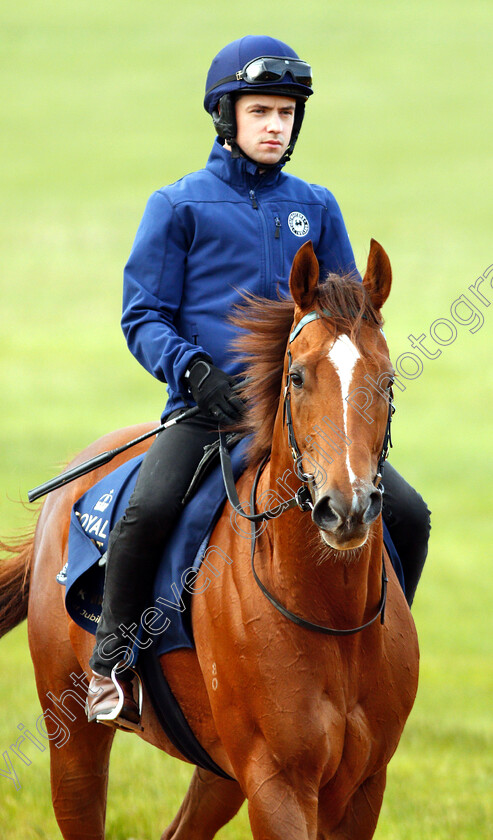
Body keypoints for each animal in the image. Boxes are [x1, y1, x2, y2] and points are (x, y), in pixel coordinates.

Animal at [0, 240, 418, 836]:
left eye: (386, 380)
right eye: (297, 376)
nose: (347, 507)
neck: (331, 616)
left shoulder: (362, 788)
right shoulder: (278, 782)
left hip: (219, 771)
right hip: (75, 742)